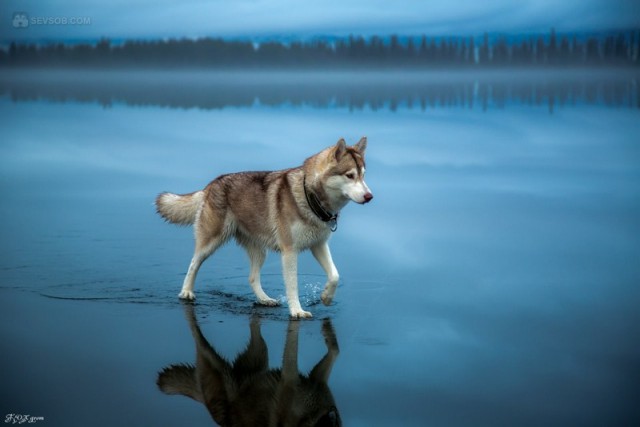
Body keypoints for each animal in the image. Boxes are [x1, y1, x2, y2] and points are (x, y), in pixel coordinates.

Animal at [156, 137, 372, 318]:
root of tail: (211, 184)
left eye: (363, 176)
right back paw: (186, 292)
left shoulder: (318, 245)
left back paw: (264, 299)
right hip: (212, 240)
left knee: (252, 277)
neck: (310, 196)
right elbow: (292, 285)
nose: (370, 196)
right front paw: (297, 311)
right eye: (350, 175)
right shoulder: (289, 251)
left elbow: (335, 275)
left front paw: (326, 297)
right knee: (193, 263)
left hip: (259, 251)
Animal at [157, 304, 342, 427]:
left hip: (260, 352)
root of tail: (205, 403)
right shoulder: (290, 379)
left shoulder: (318, 382)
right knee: (196, 335)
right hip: (219, 366)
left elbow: (335, 350)